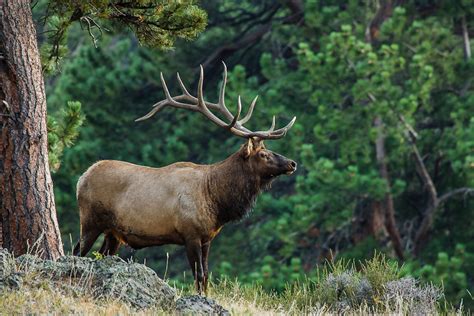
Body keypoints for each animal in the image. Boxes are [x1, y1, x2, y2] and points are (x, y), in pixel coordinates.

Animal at [73, 63, 296, 292]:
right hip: (90, 219)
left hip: (113, 231)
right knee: (77, 250)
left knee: (102, 254)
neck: (217, 200)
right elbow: (198, 275)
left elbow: (206, 276)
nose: (292, 163)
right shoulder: (190, 234)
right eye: (263, 154)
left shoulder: (207, 238)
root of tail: (82, 177)